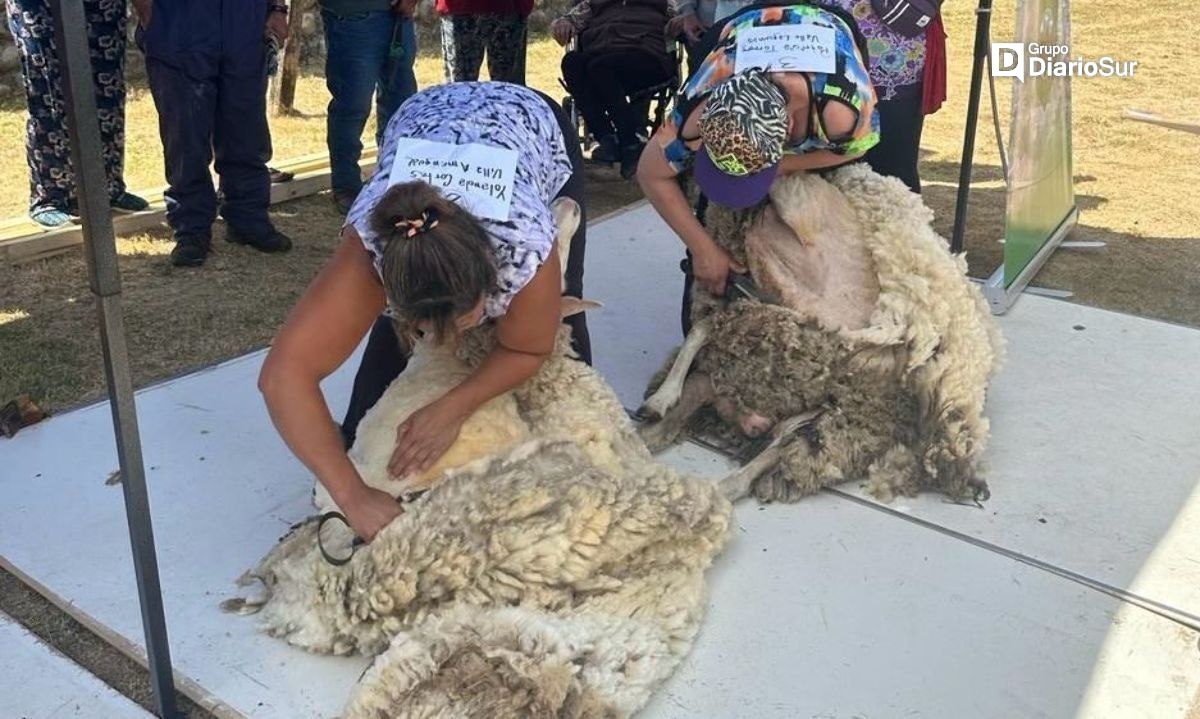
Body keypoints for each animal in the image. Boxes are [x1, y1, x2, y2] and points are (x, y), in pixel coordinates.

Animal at [638, 166, 1003, 506]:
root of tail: (749, 417)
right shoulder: (764, 304)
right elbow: (703, 328)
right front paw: (661, 397)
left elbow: (706, 325)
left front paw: (661, 397)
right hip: (721, 384)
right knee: (667, 430)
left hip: (813, 420)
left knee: (766, 457)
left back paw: (716, 487)